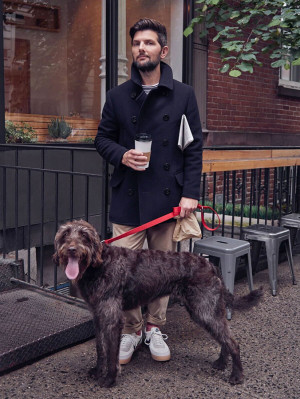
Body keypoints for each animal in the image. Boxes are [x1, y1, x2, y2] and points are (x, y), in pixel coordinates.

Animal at [54, 220, 262, 390]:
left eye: (85, 236)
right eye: (65, 235)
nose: (71, 249)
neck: (99, 264)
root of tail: (210, 266)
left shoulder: (111, 319)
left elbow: (112, 352)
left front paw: (109, 379)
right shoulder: (98, 316)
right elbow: (100, 348)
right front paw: (98, 371)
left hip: (205, 311)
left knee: (232, 342)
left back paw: (236, 375)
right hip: (206, 312)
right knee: (224, 338)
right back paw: (221, 363)